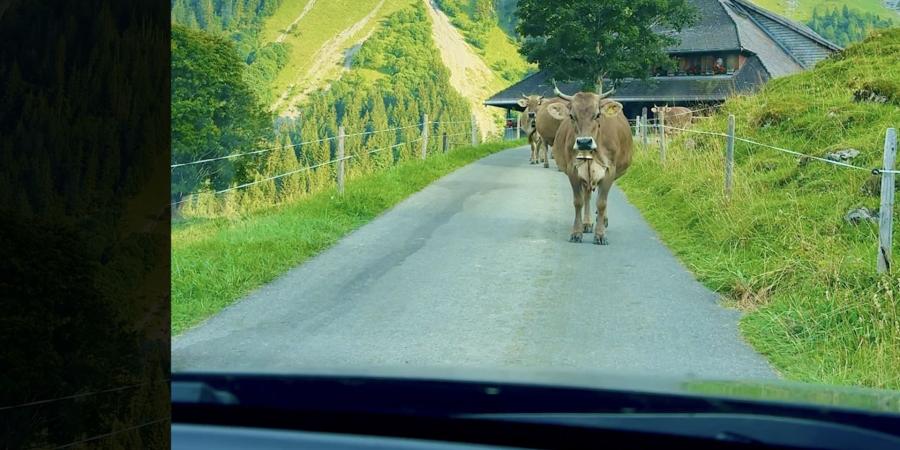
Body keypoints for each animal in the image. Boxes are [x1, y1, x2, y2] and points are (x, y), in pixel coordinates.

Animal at [548, 84, 632, 246]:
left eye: (597, 115)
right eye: (571, 116)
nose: (584, 142)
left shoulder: (610, 170)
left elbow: (602, 203)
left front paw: (600, 234)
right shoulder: (573, 170)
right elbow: (578, 201)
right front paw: (577, 232)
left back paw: (603, 220)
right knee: (587, 195)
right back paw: (586, 223)